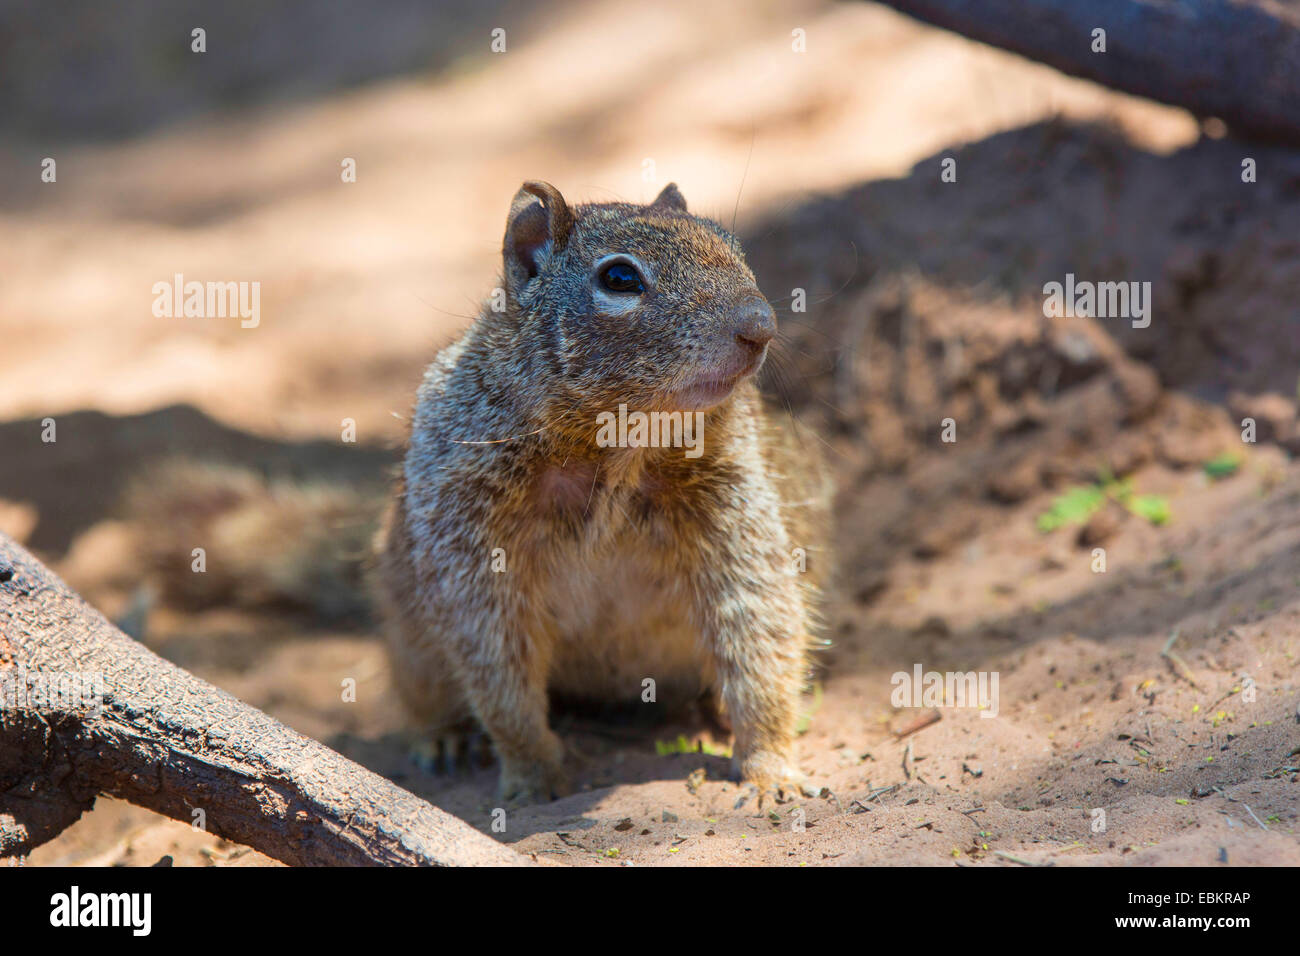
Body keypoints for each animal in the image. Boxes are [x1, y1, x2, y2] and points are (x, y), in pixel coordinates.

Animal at [371, 183, 826, 806]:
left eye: (733, 246)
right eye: (620, 278)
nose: (761, 326)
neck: (620, 444)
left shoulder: (734, 504)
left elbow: (760, 625)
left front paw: (770, 769)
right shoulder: (470, 531)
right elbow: (497, 664)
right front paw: (533, 775)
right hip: (408, 639)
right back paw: (445, 737)